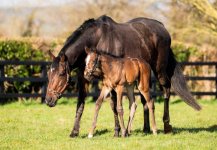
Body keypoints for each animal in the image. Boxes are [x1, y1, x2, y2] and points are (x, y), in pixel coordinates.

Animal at [44, 14, 202, 137]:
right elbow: (80, 104)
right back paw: (146, 128)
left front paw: (117, 131)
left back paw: (166, 126)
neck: (97, 39)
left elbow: (114, 105)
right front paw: (74, 132)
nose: (48, 100)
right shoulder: (84, 79)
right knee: (145, 99)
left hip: (159, 70)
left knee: (166, 91)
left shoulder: (112, 79)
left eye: (61, 73)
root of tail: (162, 27)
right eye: (49, 74)